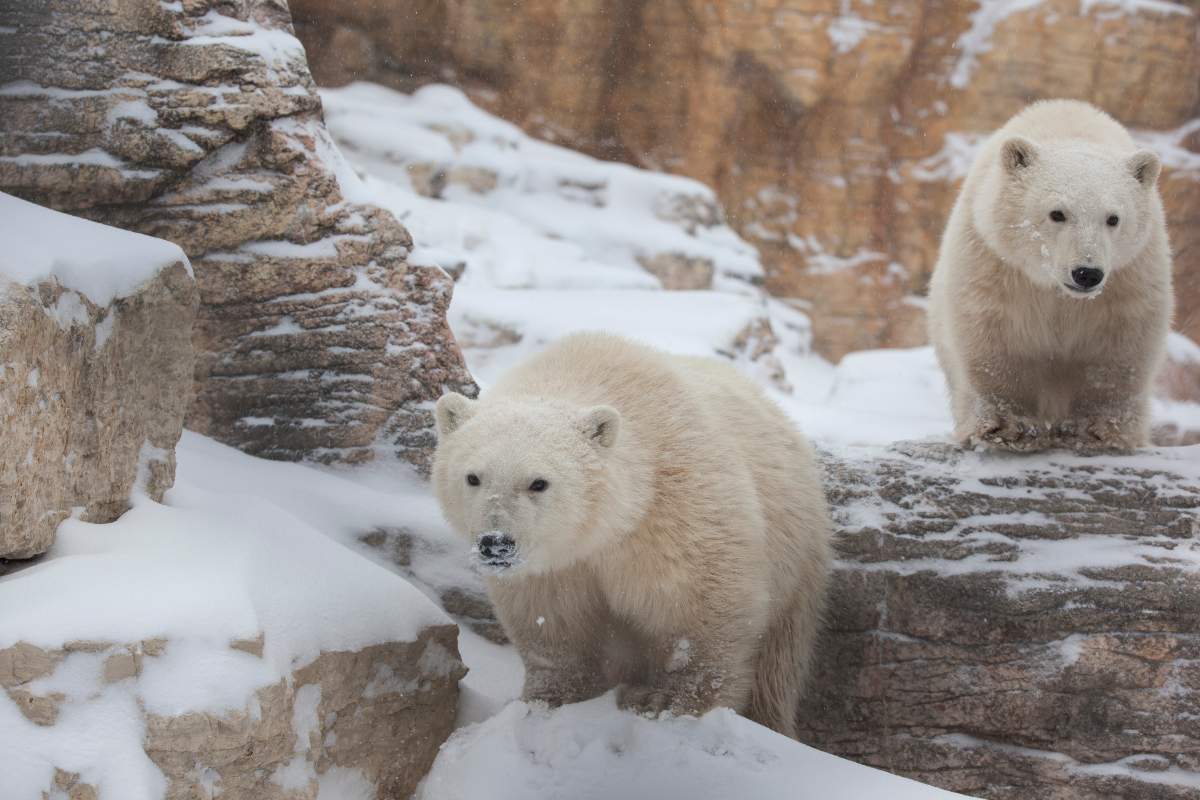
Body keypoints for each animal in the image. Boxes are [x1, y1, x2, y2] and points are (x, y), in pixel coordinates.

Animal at [432, 332, 832, 738]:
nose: (496, 544)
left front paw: (666, 701)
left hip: (795, 564)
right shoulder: (554, 565)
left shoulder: (676, 508)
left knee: (777, 667)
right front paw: (549, 699)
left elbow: (700, 604)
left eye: (538, 482)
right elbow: (551, 620)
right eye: (473, 477)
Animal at [927, 99, 1174, 453]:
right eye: (1057, 213)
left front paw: (1098, 430)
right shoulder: (995, 260)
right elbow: (995, 337)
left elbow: (1119, 346)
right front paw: (1008, 426)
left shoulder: (1130, 272)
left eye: (1113, 218)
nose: (1087, 273)